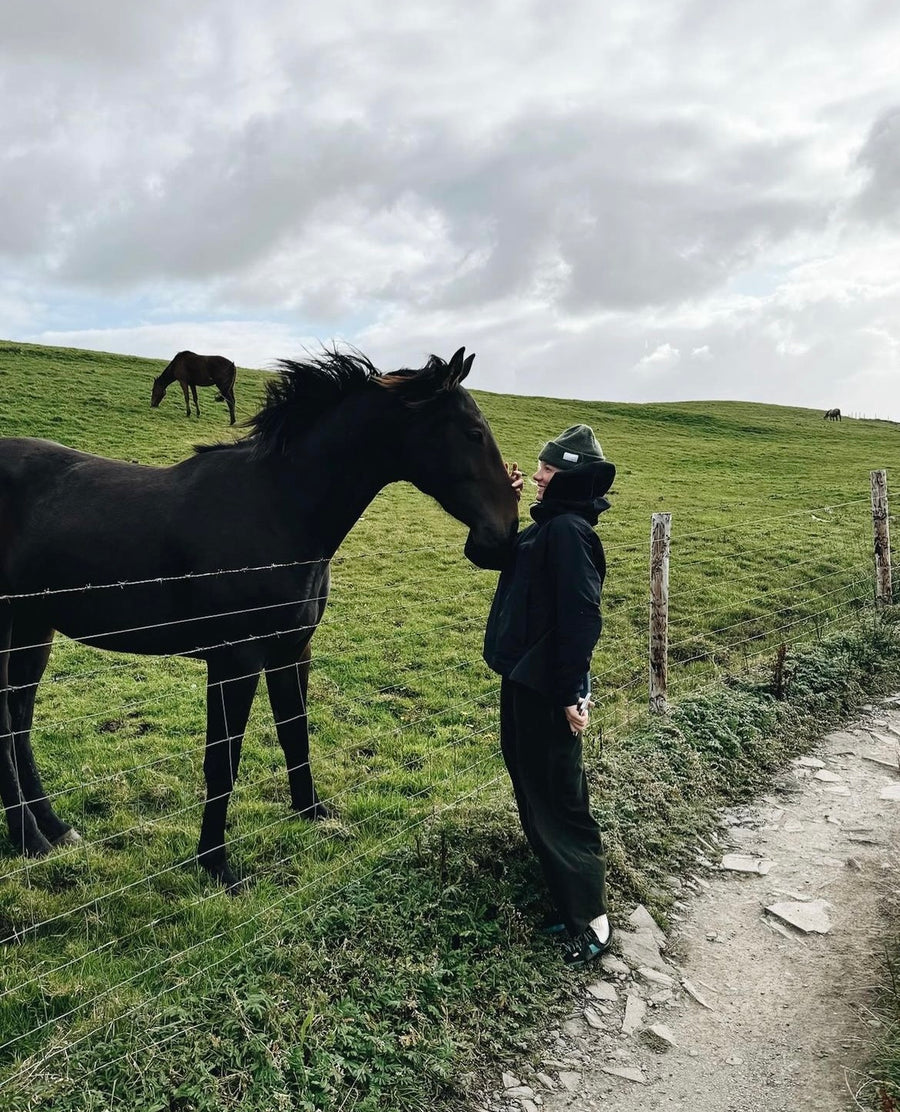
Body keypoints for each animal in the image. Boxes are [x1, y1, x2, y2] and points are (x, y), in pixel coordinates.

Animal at [0, 344, 516, 885]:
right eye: (473, 433)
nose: (503, 534)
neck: (278, 508)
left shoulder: (292, 651)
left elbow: (295, 734)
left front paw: (314, 812)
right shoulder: (235, 660)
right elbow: (222, 762)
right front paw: (216, 864)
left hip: (35, 626)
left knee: (19, 722)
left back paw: (54, 828)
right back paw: (30, 839)